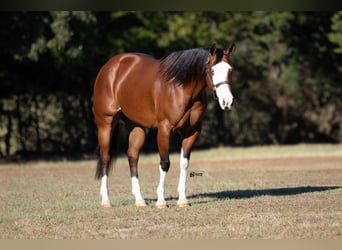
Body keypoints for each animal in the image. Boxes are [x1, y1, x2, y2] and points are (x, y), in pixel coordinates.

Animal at [92, 43, 234, 209]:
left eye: (230, 69)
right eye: (212, 70)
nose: (227, 101)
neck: (181, 86)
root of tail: (110, 66)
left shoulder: (192, 132)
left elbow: (184, 163)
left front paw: (182, 200)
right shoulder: (164, 129)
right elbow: (165, 163)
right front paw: (161, 200)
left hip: (137, 126)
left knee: (132, 156)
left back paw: (139, 200)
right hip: (106, 124)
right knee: (106, 157)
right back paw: (106, 200)